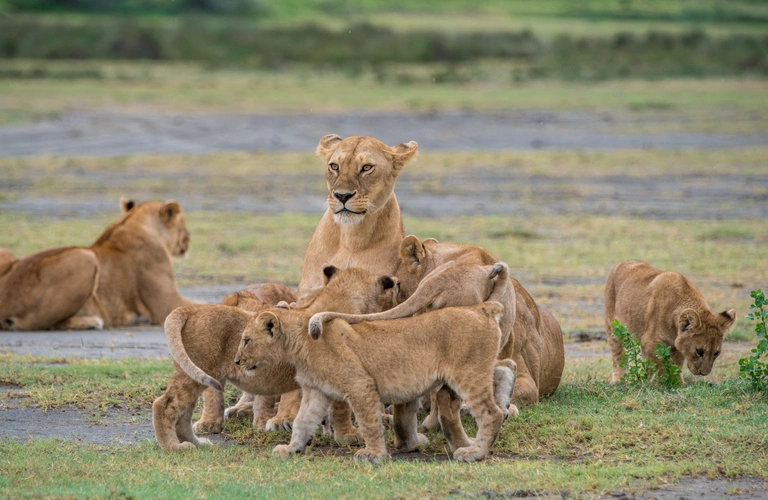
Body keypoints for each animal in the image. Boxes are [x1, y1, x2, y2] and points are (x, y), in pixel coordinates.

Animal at [0, 198, 193, 331]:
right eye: (183, 222)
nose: (189, 238)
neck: (134, 223)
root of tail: (6, 299)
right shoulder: (166, 304)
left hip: (5, 252)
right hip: (86, 257)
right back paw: (93, 321)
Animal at [153, 266, 398, 451]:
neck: (343, 297)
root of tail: (190, 309)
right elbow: (341, 408)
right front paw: (348, 435)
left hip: (195, 373)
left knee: (184, 413)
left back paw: (198, 442)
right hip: (198, 371)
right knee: (164, 404)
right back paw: (174, 447)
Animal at [235, 301, 507, 463]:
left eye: (246, 340)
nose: (237, 361)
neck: (299, 344)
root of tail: (483, 307)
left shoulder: (359, 384)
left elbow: (368, 423)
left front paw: (374, 454)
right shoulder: (316, 391)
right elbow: (302, 423)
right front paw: (291, 449)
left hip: (469, 374)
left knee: (491, 413)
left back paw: (475, 453)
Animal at [605, 260, 736, 383]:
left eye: (716, 353)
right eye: (699, 351)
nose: (704, 373)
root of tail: (623, 262)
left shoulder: (677, 345)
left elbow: (676, 364)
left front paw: (677, 382)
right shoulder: (650, 340)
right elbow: (662, 364)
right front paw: (665, 383)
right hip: (613, 327)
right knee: (618, 355)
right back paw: (618, 380)